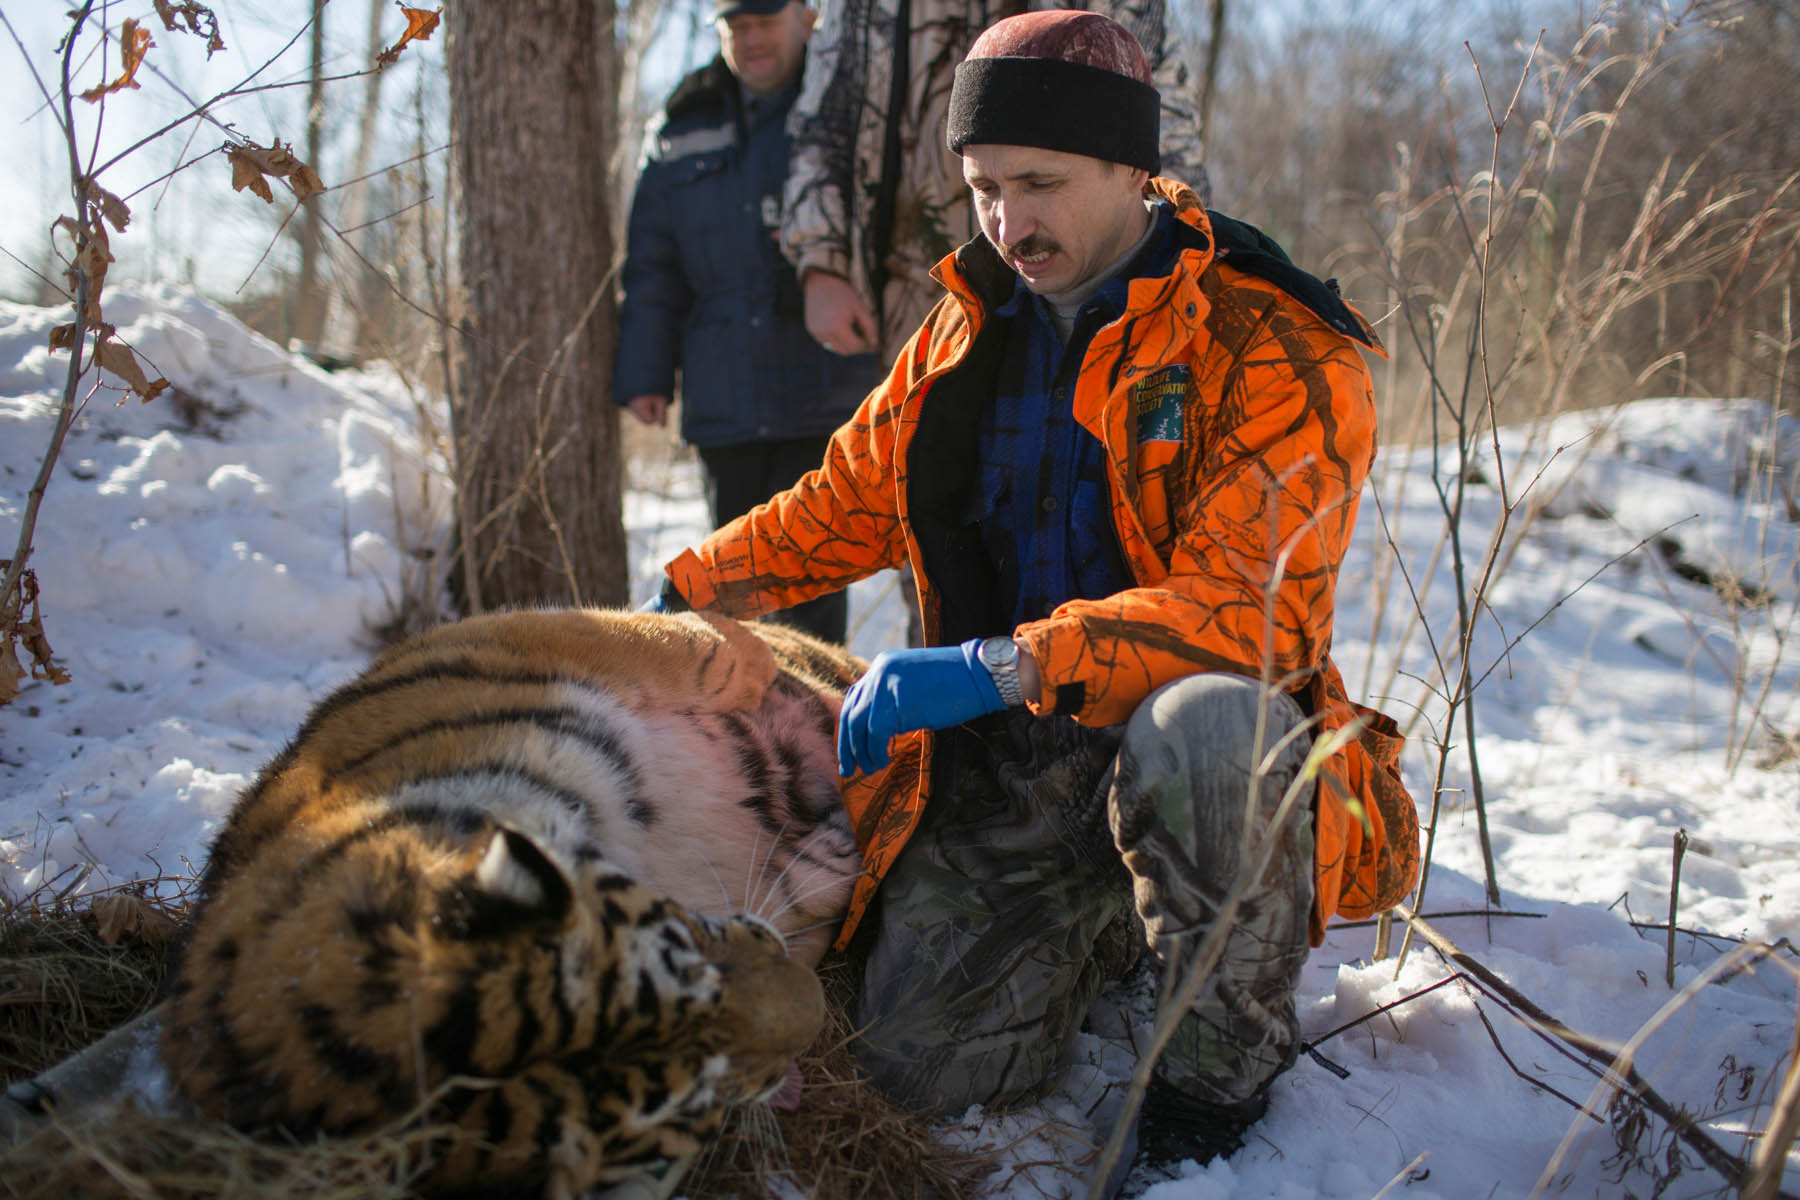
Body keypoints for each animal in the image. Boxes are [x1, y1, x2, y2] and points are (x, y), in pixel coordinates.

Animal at [159, 608, 866, 1198]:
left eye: (684, 941)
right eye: (699, 1099)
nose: (811, 1009)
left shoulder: (530, 650)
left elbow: (688, 645)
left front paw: (763, 664)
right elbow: (812, 889)